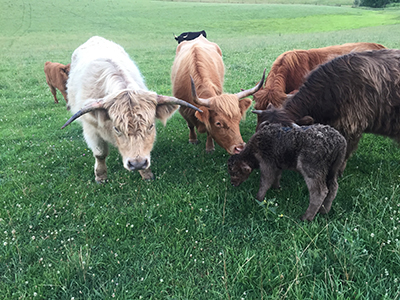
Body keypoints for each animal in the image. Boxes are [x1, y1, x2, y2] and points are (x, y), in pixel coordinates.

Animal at [63, 36, 202, 184]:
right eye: (116, 128)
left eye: (151, 126)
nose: (137, 164)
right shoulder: (91, 129)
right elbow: (100, 154)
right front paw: (101, 177)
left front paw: (146, 174)